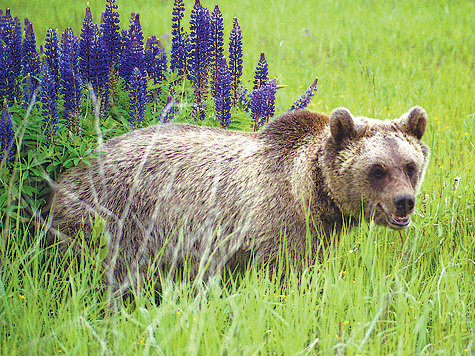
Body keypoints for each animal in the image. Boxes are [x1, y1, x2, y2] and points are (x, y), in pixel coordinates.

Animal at [49, 107, 432, 290]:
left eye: (409, 165)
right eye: (377, 169)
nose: (404, 201)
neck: (311, 192)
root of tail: (76, 166)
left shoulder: (315, 232)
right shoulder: (276, 223)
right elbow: (286, 277)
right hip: (114, 217)